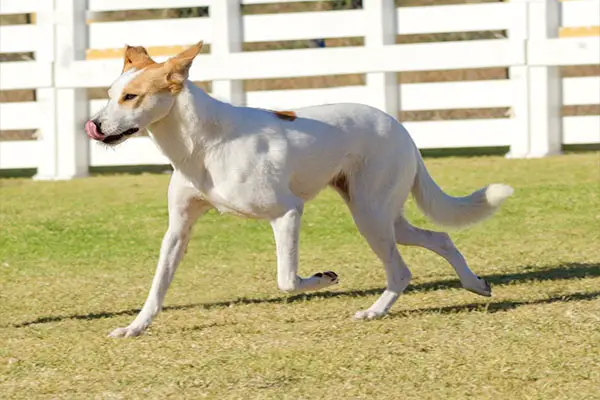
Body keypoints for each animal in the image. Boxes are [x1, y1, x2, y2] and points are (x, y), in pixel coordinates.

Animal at [84, 41, 512, 338]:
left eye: (131, 97)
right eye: (109, 94)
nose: (95, 125)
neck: (202, 143)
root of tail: (400, 127)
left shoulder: (287, 213)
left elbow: (287, 280)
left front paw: (323, 279)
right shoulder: (178, 230)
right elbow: (157, 287)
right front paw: (135, 327)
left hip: (370, 215)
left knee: (401, 269)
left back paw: (374, 311)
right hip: (384, 217)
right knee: (440, 238)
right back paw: (474, 285)